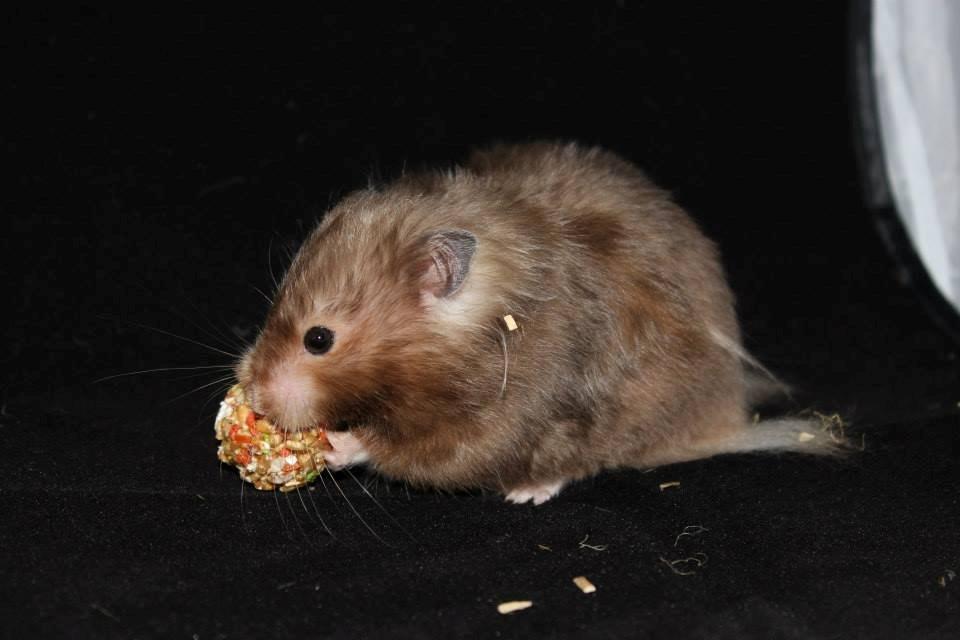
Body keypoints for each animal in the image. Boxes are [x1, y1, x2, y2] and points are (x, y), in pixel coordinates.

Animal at [235, 142, 838, 505]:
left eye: (319, 339)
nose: (255, 395)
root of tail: (725, 414)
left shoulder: (513, 406)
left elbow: (428, 451)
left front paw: (339, 445)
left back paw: (529, 490)